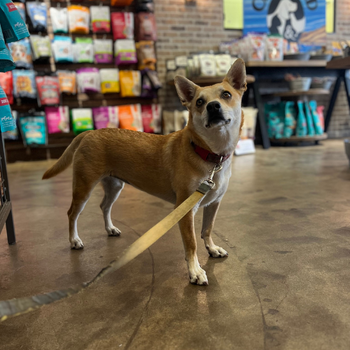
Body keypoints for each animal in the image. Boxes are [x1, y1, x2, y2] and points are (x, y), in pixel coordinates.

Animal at [43, 58, 246, 286]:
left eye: (226, 94)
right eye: (200, 102)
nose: (213, 106)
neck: (210, 154)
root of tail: (90, 132)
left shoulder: (214, 203)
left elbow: (207, 230)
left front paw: (212, 249)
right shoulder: (185, 210)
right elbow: (191, 243)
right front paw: (195, 270)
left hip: (114, 186)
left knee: (104, 206)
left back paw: (110, 229)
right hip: (83, 187)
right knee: (72, 213)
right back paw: (74, 240)